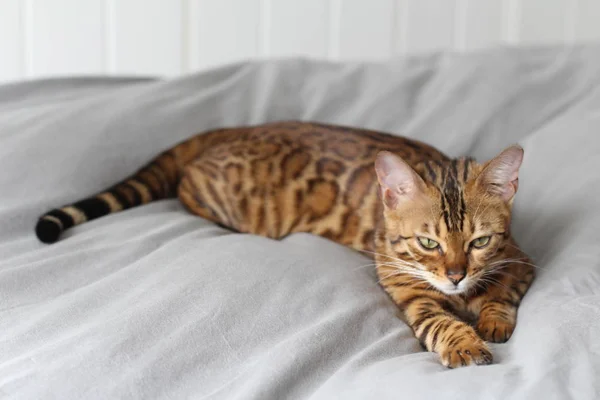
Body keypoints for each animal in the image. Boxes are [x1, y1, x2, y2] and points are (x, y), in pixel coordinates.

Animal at [36, 120, 536, 368]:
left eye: (479, 240)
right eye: (427, 242)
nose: (455, 275)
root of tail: (234, 127)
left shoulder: (520, 258)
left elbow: (503, 288)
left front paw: (491, 318)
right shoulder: (407, 288)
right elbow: (438, 322)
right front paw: (465, 344)